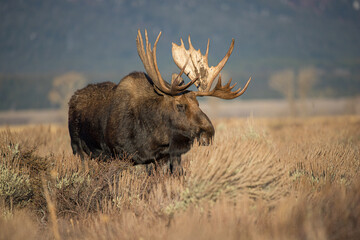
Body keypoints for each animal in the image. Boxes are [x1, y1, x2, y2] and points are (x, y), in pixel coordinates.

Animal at [69, 29, 252, 173]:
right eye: (180, 105)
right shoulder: (121, 156)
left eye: (198, 104)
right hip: (79, 150)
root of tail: (73, 98)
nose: (209, 132)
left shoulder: (165, 158)